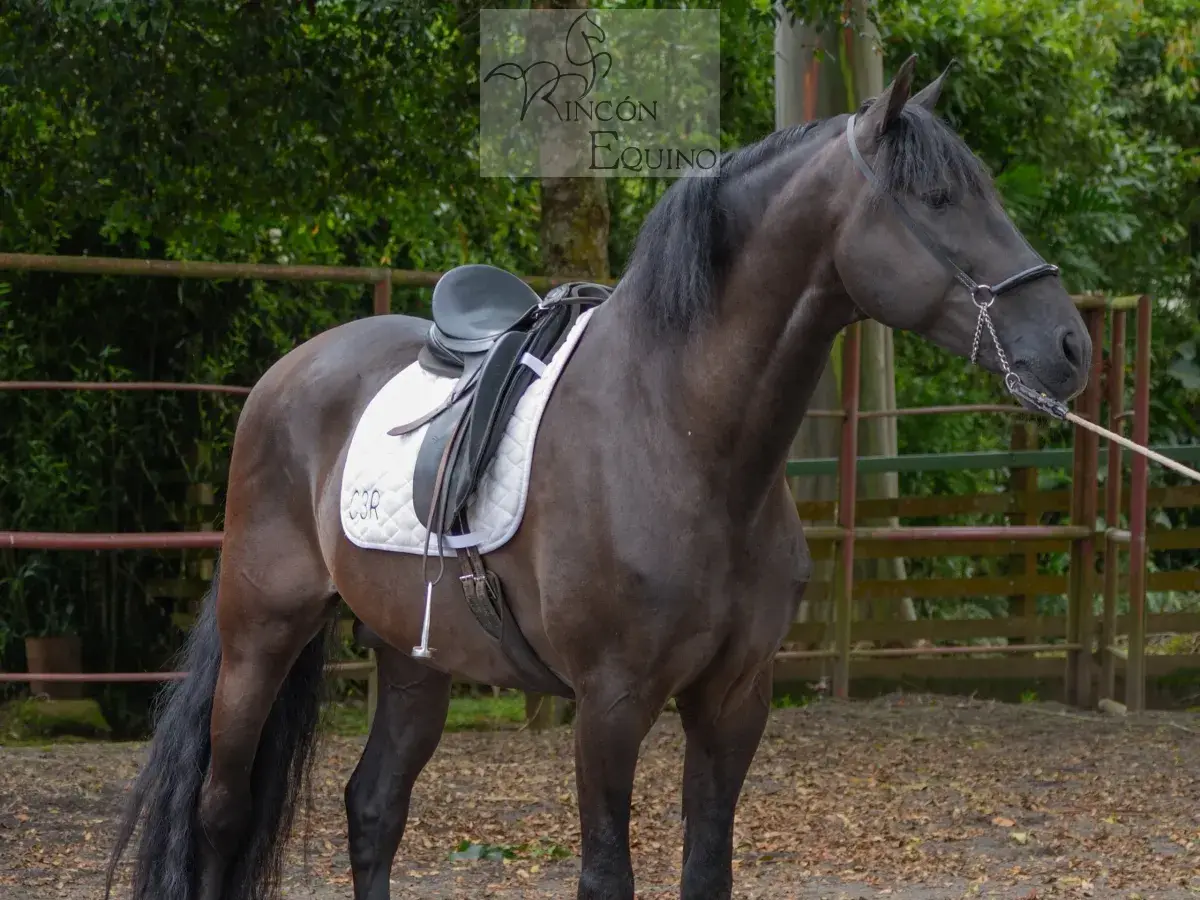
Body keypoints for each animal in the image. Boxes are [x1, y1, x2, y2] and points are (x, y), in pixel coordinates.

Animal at [105, 56, 1090, 900]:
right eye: (937, 198)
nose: (1072, 346)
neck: (682, 441)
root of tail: (285, 377)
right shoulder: (610, 706)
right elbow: (606, 874)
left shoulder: (734, 701)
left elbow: (706, 868)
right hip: (262, 631)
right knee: (221, 812)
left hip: (413, 658)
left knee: (373, 808)